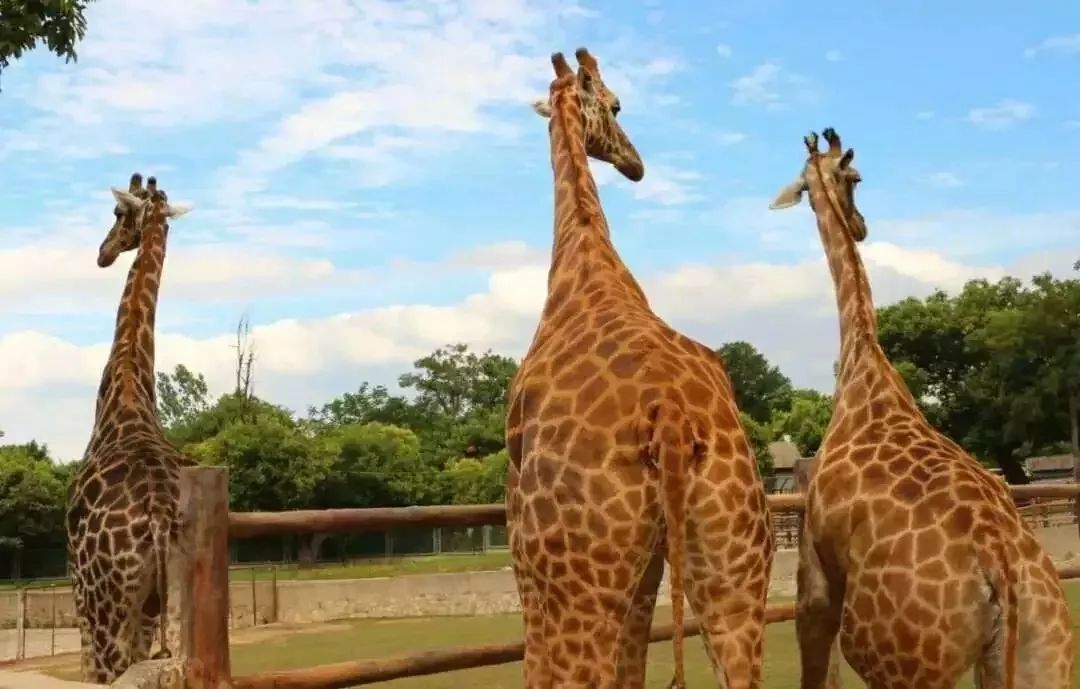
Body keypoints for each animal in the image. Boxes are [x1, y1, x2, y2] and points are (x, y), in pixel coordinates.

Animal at [65, 173, 196, 686]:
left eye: (119, 214)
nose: (103, 252)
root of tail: (158, 515)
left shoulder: (77, 589)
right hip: (174, 605)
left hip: (108, 605)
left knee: (109, 670)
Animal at [505, 48, 777, 689]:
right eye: (619, 105)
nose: (635, 164)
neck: (586, 262)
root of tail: (670, 414)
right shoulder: (650, 562)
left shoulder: (521, 550)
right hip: (735, 569)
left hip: (578, 584)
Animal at [768, 126, 1071, 686]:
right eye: (854, 177)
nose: (861, 224)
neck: (865, 364)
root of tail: (998, 567)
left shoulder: (813, 570)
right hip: (1042, 649)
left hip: (897, 661)